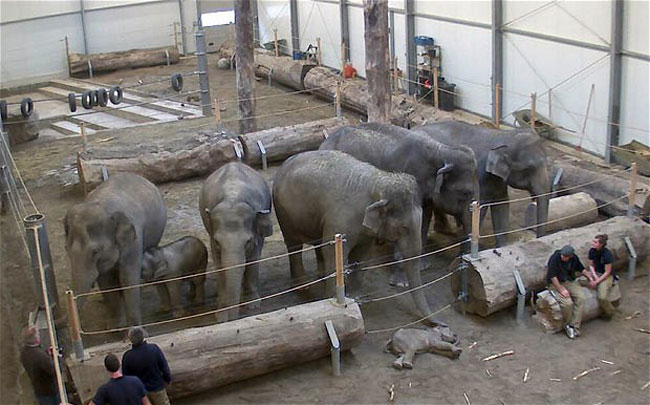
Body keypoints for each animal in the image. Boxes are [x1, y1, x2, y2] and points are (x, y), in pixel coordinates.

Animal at [64, 173, 167, 326]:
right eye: (67, 250)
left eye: (95, 251)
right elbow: (106, 283)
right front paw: (117, 327)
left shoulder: (134, 240)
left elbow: (128, 278)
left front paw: (136, 328)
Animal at [199, 162, 273, 323]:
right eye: (217, 242)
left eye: (247, 242)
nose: (231, 320)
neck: (232, 197)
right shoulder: (212, 234)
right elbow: (220, 265)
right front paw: (220, 315)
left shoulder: (257, 233)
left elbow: (253, 260)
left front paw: (253, 305)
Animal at [273, 150, 436, 325]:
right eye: (404, 228)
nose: (440, 325)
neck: (379, 182)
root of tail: (285, 163)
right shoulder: (340, 220)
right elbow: (334, 252)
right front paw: (335, 301)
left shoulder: (365, 231)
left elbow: (362, 255)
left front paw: (357, 298)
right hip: (283, 212)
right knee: (294, 245)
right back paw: (303, 286)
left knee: (318, 243)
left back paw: (321, 276)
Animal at [415, 121, 550, 247]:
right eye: (530, 168)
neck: (502, 135)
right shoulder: (480, 176)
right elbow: (478, 209)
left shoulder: (498, 179)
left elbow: (502, 205)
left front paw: (502, 247)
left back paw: (446, 230)